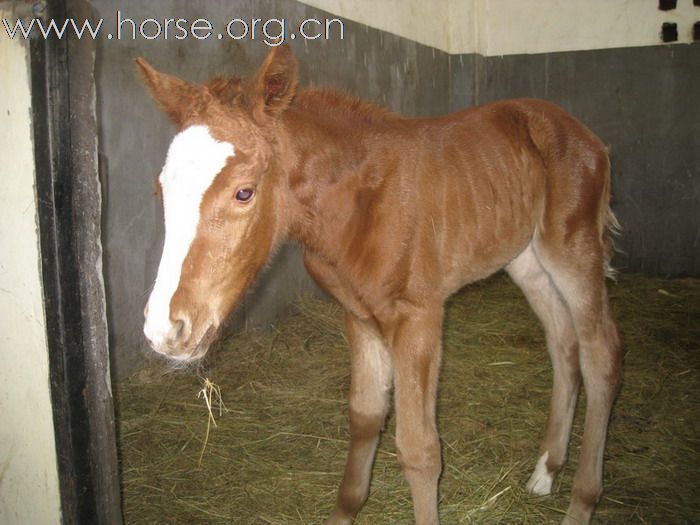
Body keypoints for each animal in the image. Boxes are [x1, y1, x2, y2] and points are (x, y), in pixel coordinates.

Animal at [139, 46, 620, 524]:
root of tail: (586, 134)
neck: (357, 203)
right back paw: (546, 471)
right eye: (160, 191)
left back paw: (581, 500)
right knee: (563, 342)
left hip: (572, 247)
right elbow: (366, 416)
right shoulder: (359, 316)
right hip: (526, 258)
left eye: (244, 192)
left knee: (601, 352)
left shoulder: (419, 317)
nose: (165, 330)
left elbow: (420, 450)